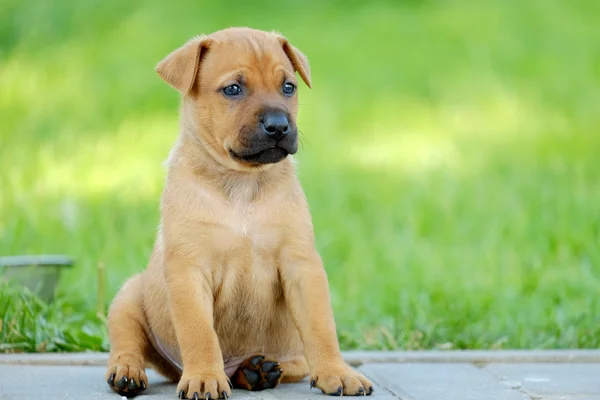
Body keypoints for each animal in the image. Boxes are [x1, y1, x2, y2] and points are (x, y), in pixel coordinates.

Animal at [105, 26, 372, 398]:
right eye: (233, 89)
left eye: (288, 87)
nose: (279, 126)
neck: (242, 184)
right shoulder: (189, 271)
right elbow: (200, 333)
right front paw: (204, 377)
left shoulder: (301, 265)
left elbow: (321, 327)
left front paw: (337, 373)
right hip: (129, 296)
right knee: (127, 343)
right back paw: (127, 372)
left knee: (290, 364)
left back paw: (256, 371)